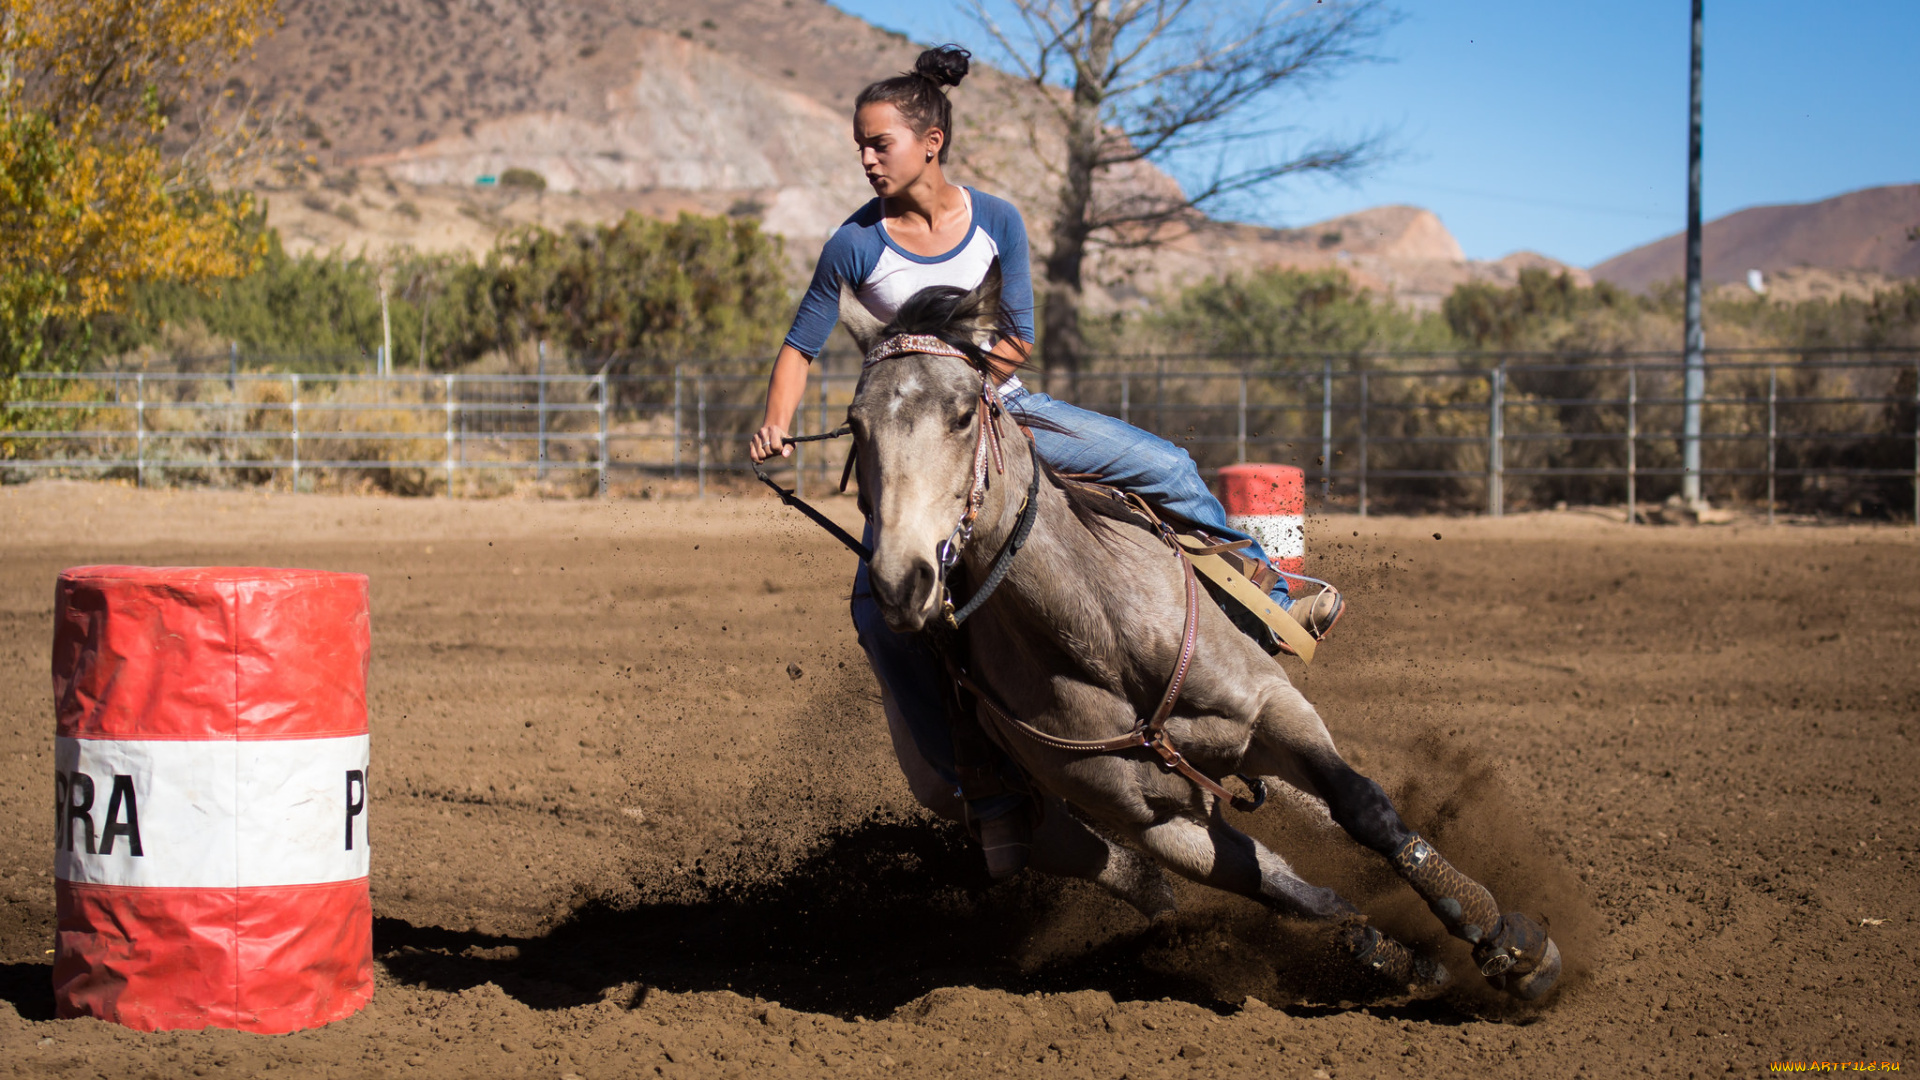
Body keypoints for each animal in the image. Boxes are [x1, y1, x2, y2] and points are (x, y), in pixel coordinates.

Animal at [837, 263, 1559, 999]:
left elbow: (1362, 806)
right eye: (855, 426)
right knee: (1138, 872)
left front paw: (1508, 942)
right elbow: (1284, 890)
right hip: (1024, 814)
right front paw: (1395, 951)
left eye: (961, 415)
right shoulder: (1158, 823)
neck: (1095, 637)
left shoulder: (1273, 708)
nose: (902, 581)